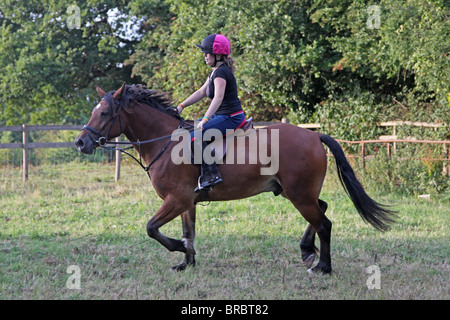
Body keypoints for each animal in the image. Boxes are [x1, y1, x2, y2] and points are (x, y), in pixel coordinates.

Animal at [75, 82, 396, 272]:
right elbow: (188, 231)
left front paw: (182, 250)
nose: (80, 142)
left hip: (299, 195)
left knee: (324, 223)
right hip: (298, 192)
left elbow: (152, 228)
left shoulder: (175, 199)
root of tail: (314, 136)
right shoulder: (186, 202)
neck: (167, 142)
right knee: (323, 211)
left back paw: (322, 267)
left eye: (104, 113)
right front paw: (187, 262)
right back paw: (307, 251)